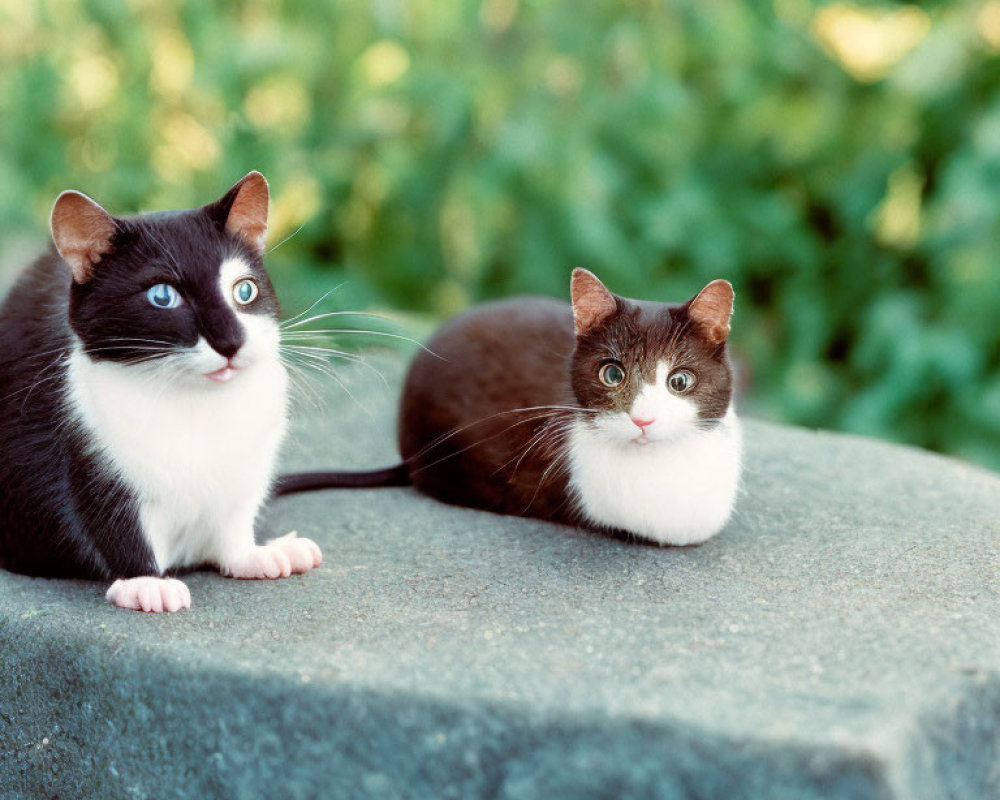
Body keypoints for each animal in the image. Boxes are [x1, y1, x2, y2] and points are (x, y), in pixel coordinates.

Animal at [0, 173, 320, 612]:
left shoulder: (249, 463)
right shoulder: (90, 446)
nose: (231, 342)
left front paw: (254, 553)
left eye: (245, 291)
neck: (194, 406)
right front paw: (145, 581)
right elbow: (108, 518)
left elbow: (235, 518)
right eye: (162, 296)